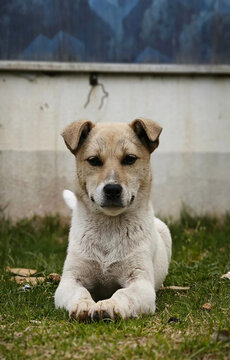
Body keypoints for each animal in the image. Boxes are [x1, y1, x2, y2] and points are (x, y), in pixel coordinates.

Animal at [55, 118, 171, 320]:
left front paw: (109, 305)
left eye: (130, 159)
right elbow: (80, 291)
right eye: (93, 160)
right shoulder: (70, 278)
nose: (112, 189)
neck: (109, 226)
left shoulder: (140, 281)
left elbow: (123, 293)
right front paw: (83, 304)